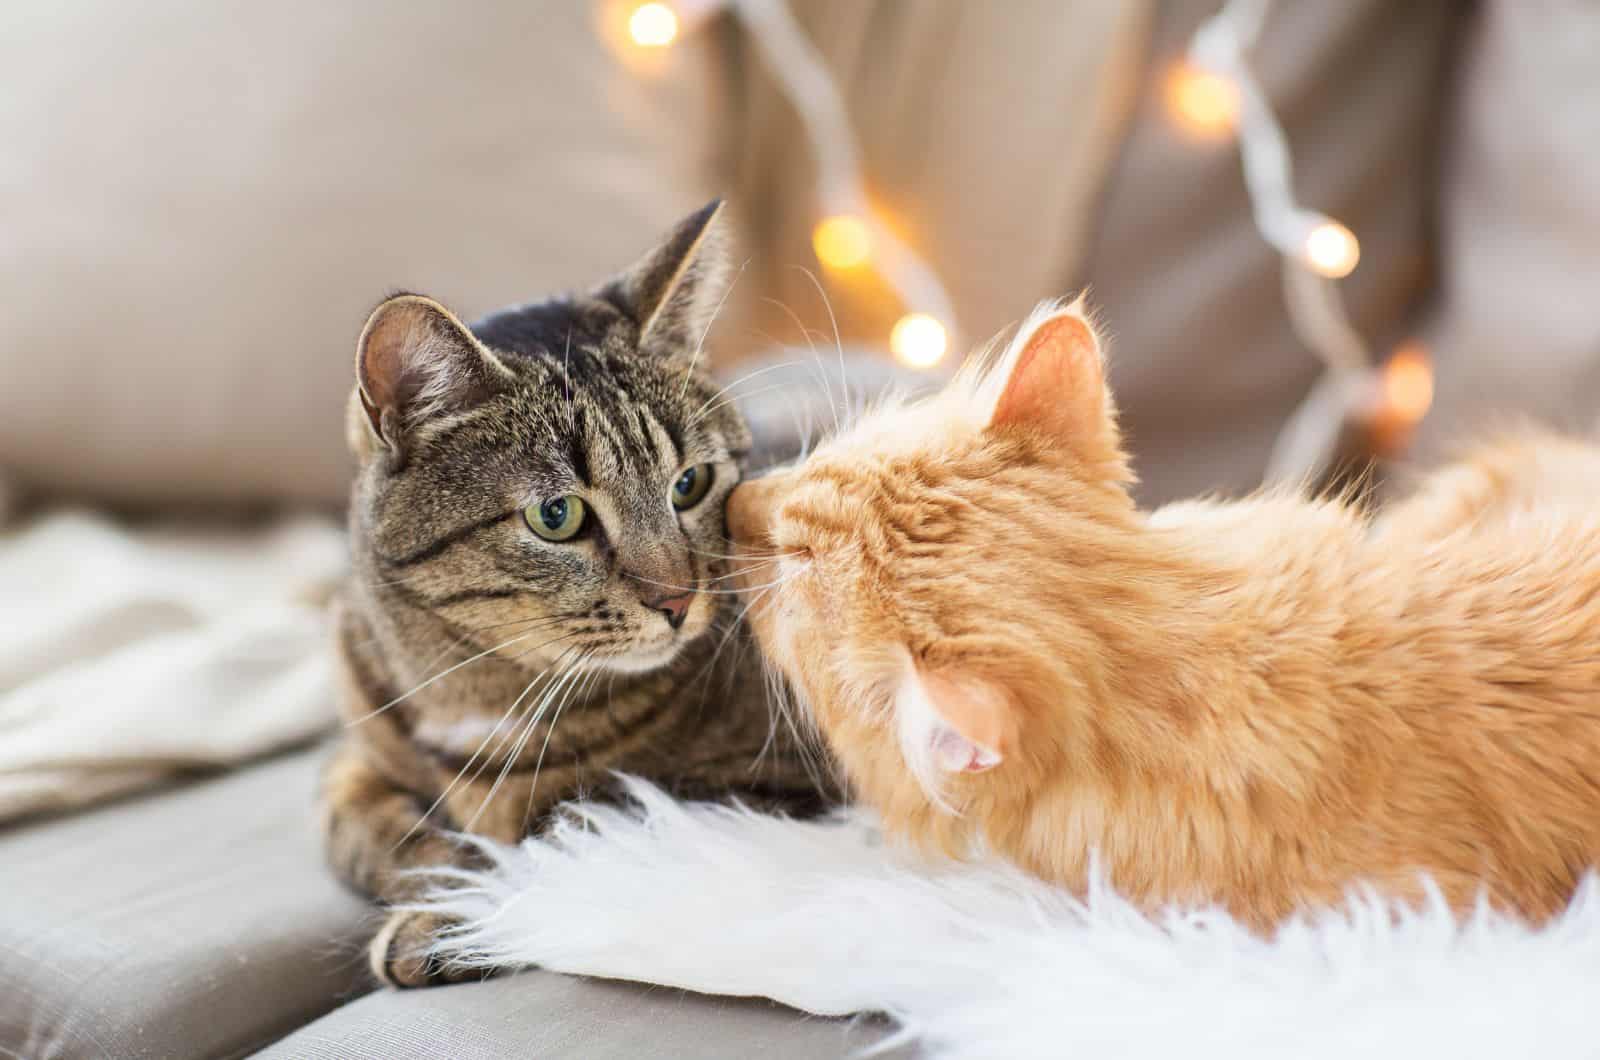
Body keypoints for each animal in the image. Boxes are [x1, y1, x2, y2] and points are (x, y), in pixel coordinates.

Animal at [318, 201, 832, 986]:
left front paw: (459, 920)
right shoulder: (352, 755)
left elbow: (578, 829)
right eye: (556, 516)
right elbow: (360, 826)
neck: (470, 694)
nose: (679, 601)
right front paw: (442, 885)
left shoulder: (772, 783)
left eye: (690, 484)